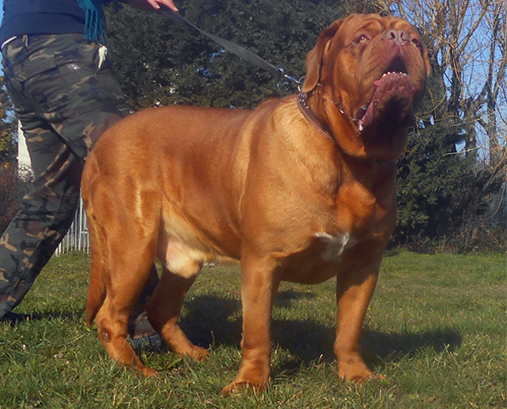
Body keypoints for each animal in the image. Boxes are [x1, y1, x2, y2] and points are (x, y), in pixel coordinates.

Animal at [82, 14, 428, 394]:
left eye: (418, 42)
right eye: (361, 39)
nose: (400, 38)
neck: (350, 160)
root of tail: (99, 146)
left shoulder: (363, 266)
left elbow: (350, 329)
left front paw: (356, 374)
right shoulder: (263, 262)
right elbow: (258, 331)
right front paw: (250, 382)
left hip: (182, 260)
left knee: (160, 308)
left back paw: (192, 354)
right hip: (132, 247)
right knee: (110, 316)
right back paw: (137, 369)